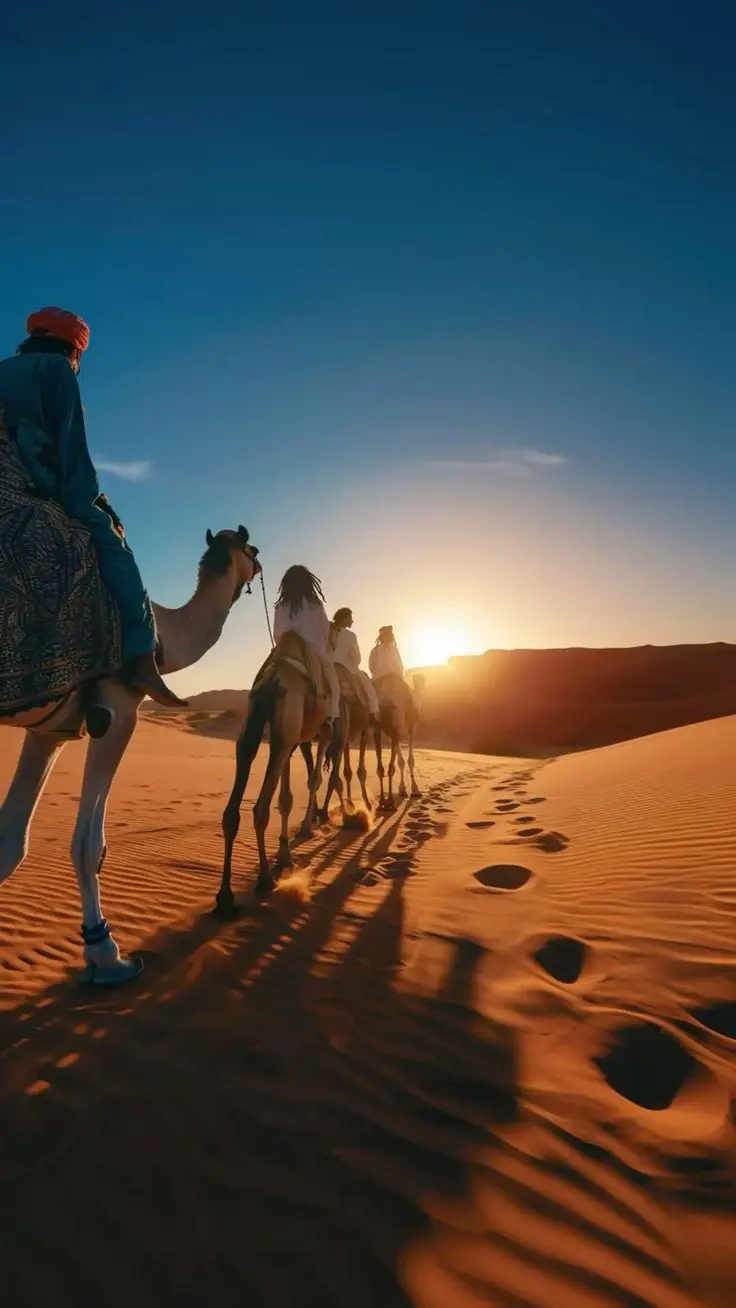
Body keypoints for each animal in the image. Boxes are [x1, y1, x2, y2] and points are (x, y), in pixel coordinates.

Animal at [0, 526, 260, 984]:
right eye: (253, 549)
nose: (261, 566)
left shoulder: (48, 732)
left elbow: (11, 842)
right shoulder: (117, 711)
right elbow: (88, 845)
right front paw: (106, 956)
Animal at [217, 632, 340, 914]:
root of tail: (272, 680)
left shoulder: (291, 740)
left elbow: (286, 798)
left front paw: (285, 855)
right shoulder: (320, 732)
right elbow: (313, 780)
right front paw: (305, 830)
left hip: (255, 727)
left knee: (232, 809)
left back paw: (225, 897)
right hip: (287, 727)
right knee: (260, 808)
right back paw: (265, 880)